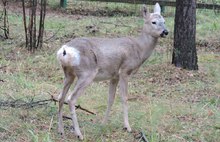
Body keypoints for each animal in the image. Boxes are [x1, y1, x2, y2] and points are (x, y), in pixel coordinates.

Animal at [56, 3, 168, 140]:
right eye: (154, 22)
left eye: (164, 21)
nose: (165, 32)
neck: (139, 49)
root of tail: (64, 50)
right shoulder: (125, 70)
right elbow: (124, 97)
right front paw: (127, 127)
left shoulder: (114, 76)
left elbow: (110, 99)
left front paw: (103, 123)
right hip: (87, 73)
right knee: (71, 98)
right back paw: (79, 134)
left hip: (69, 74)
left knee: (60, 97)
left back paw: (61, 130)